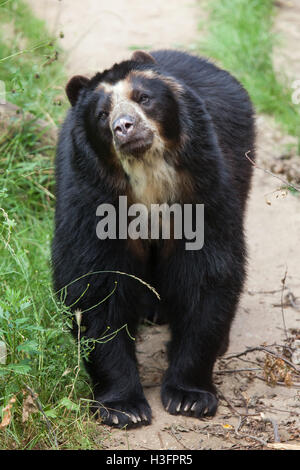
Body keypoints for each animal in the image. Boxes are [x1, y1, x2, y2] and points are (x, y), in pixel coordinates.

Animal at [52, 49, 255, 428]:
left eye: (143, 98)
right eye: (102, 114)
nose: (124, 127)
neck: (147, 176)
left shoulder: (203, 186)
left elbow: (208, 274)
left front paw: (190, 397)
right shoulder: (91, 199)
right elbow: (96, 284)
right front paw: (123, 407)